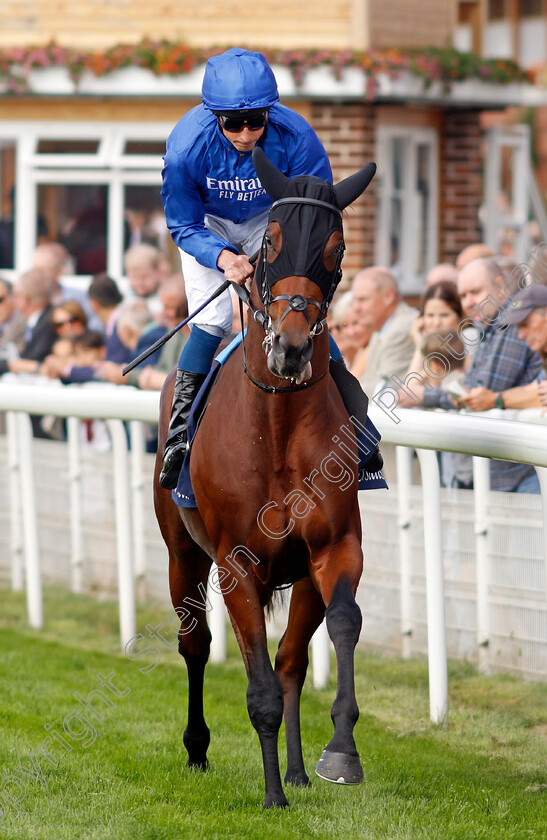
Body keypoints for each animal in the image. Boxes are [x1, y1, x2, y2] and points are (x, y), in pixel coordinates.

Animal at [153, 148, 376, 812]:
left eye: (336, 246)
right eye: (271, 240)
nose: (293, 347)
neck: (276, 429)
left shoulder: (335, 546)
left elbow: (343, 625)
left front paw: (338, 754)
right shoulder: (236, 564)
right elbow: (257, 691)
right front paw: (273, 796)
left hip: (299, 576)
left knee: (291, 660)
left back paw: (299, 770)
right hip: (182, 555)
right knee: (196, 645)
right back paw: (198, 750)